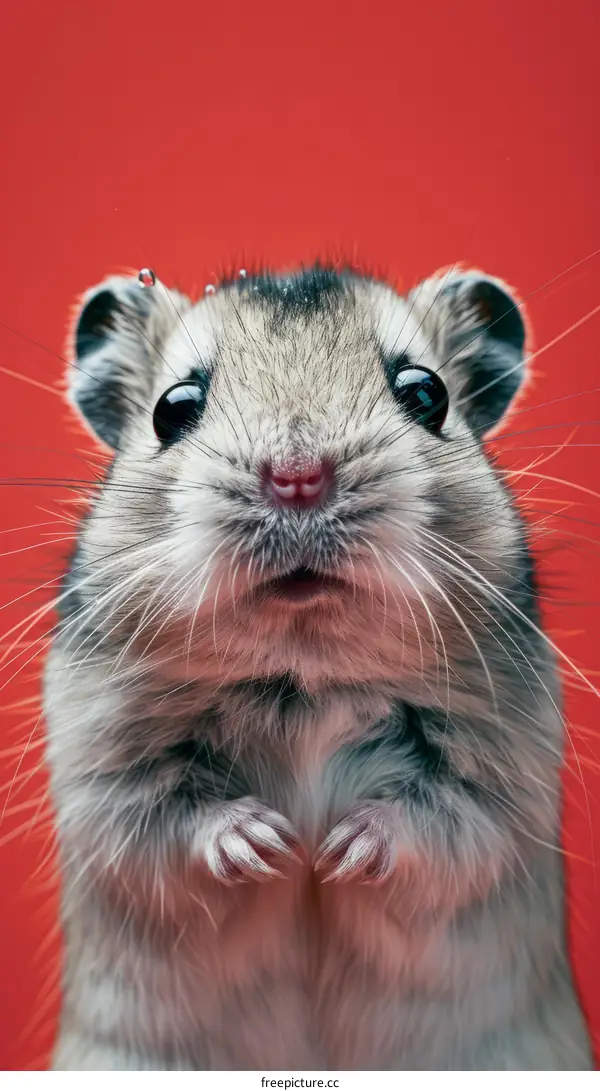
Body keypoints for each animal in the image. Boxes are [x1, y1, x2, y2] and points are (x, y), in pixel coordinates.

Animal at [43, 263, 593, 1070]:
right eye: (174, 408)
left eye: (426, 393)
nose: (297, 479)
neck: (304, 668)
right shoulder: (103, 776)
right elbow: (168, 819)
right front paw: (271, 845)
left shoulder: (503, 777)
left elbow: (440, 820)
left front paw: (335, 852)